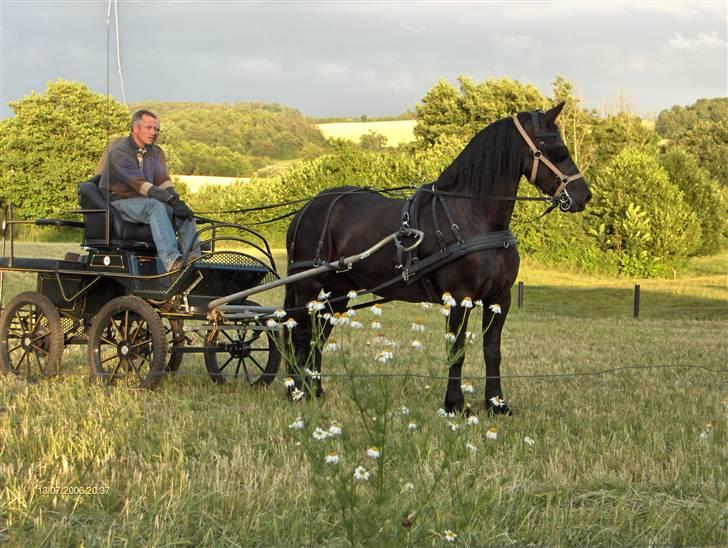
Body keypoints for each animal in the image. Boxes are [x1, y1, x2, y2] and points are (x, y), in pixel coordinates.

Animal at [282, 103, 592, 414]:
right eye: (555, 149)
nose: (584, 195)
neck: (474, 216)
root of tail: (306, 210)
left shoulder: (499, 299)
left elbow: (492, 351)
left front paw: (497, 404)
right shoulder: (458, 297)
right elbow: (457, 350)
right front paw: (455, 404)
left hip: (337, 293)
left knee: (319, 337)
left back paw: (314, 389)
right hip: (308, 287)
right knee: (301, 335)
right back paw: (297, 391)